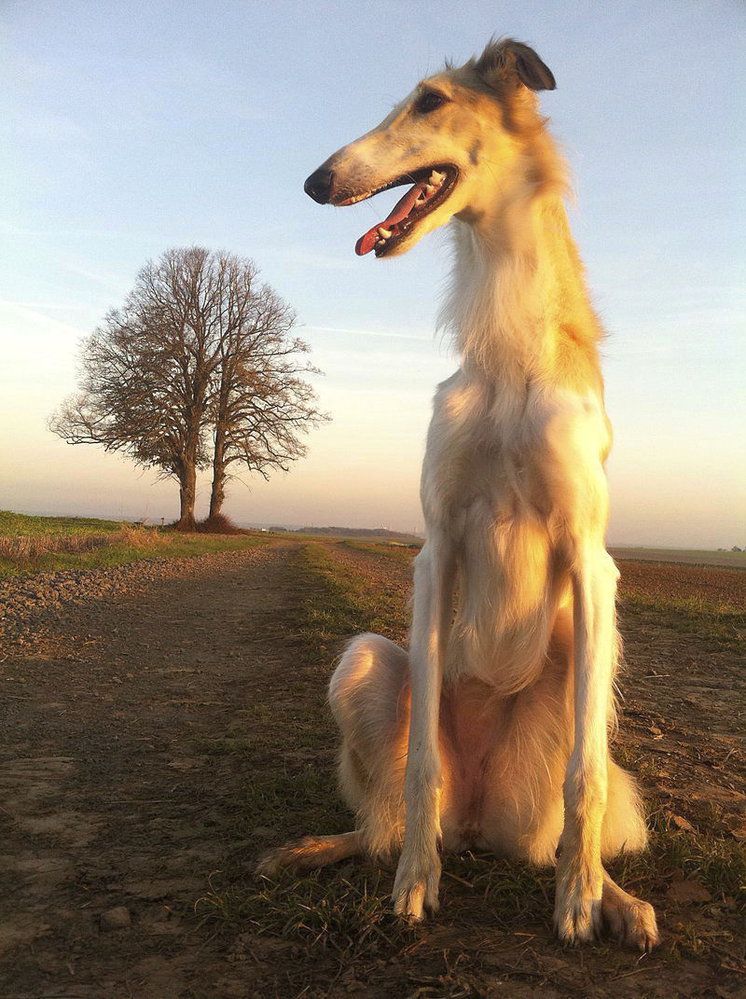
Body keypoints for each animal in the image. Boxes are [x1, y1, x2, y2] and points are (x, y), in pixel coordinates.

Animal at [258, 35, 656, 948]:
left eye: (430, 101)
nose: (316, 181)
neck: (508, 356)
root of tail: (478, 822)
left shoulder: (593, 560)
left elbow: (585, 778)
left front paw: (581, 900)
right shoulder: (435, 547)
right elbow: (419, 772)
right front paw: (415, 884)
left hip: (577, 679)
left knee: (576, 798)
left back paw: (614, 894)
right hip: (367, 659)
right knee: (382, 819)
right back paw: (330, 850)